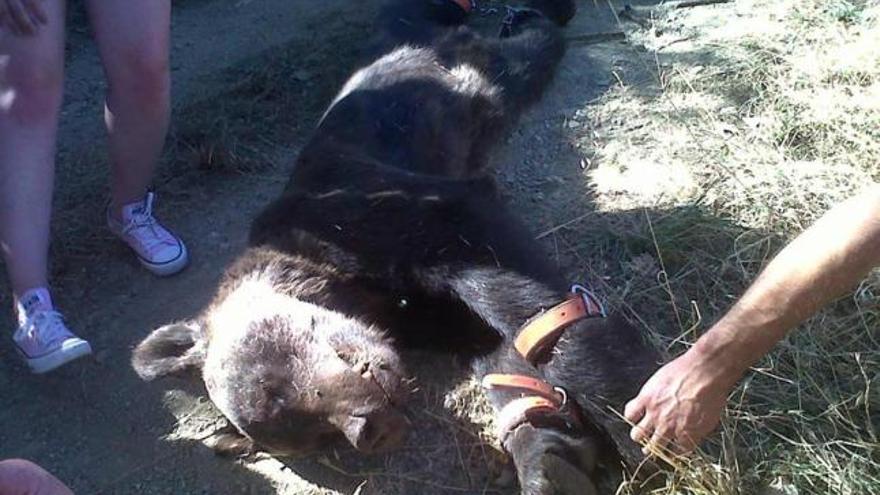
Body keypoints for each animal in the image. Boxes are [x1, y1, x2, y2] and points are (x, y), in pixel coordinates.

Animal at [134, 1, 660, 494]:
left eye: (273, 387)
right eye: (316, 437)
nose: (370, 430)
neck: (355, 290)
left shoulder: (386, 217)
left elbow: (531, 308)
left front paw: (641, 416)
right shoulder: (426, 317)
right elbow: (497, 350)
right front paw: (547, 458)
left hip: (481, 78)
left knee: (533, 47)